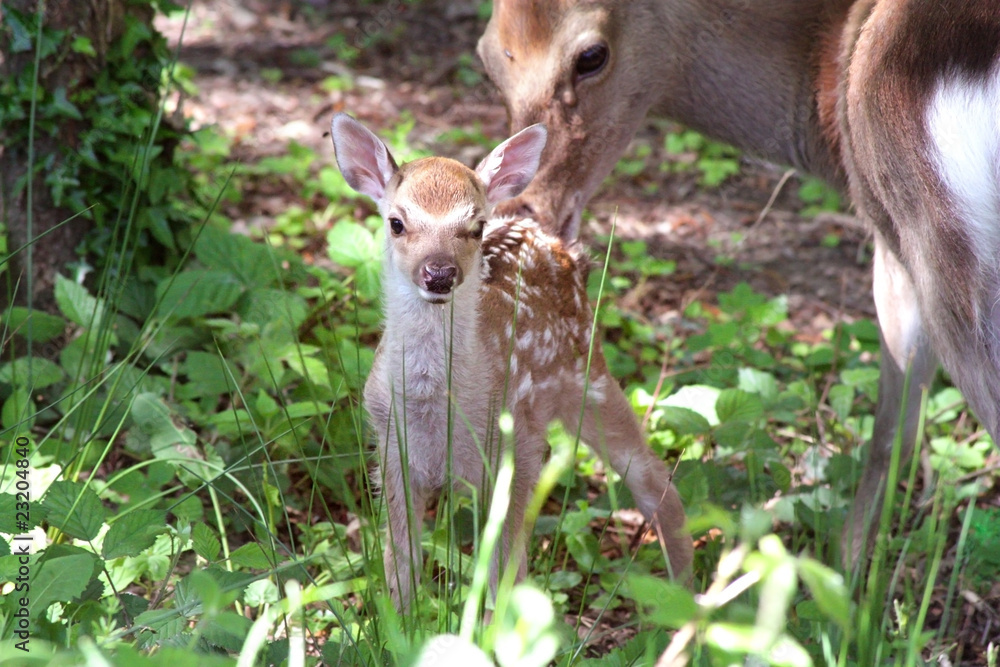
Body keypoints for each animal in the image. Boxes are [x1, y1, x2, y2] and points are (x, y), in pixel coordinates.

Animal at [329, 112, 693, 610]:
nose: (439, 274)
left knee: (657, 482)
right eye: (396, 222)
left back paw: (685, 604)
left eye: (476, 227)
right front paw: (398, 620)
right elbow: (400, 563)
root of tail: (556, 241)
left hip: (590, 378)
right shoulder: (388, 451)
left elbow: (506, 571)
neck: (437, 407)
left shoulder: (514, 449)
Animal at [477, 0, 1000, 565]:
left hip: (936, 236)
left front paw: (846, 576)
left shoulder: (890, 230)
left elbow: (889, 430)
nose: (523, 207)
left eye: (591, 55)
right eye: (489, 58)